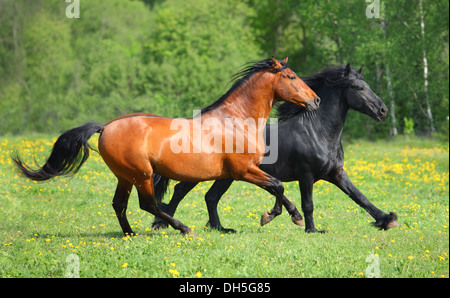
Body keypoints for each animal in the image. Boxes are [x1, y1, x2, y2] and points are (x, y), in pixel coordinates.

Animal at [11, 57, 320, 235]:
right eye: (292, 77)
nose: (315, 100)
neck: (237, 119)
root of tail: (105, 127)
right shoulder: (243, 170)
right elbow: (277, 186)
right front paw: (277, 216)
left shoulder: (245, 171)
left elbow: (277, 187)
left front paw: (287, 216)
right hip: (142, 175)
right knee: (148, 204)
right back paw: (182, 228)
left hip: (125, 176)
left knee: (120, 204)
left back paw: (130, 234)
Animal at [153, 64, 400, 234]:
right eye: (358, 87)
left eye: (367, 85)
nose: (383, 110)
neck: (318, 132)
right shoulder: (305, 174)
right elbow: (308, 203)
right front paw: (311, 229)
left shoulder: (336, 173)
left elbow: (360, 197)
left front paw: (388, 220)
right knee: (181, 191)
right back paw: (164, 223)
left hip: (227, 175)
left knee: (211, 197)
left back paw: (220, 228)